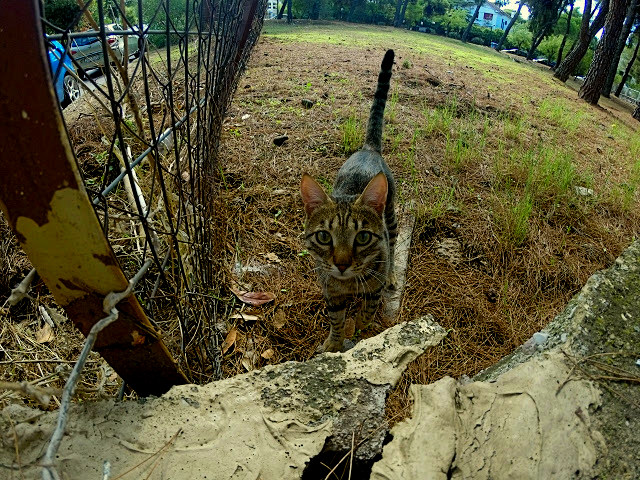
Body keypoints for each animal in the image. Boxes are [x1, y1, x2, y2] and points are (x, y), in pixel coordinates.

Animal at [300, 49, 396, 352]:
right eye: (324, 237)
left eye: (363, 237)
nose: (341, 264)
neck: (349, 284)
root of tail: (369, 149)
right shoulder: (330, 293)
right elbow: (336, 321)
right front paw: (333, 343)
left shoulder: (373, 290)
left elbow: (367, 313)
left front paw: (361, 331)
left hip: (391, 216)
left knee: (394, 243)